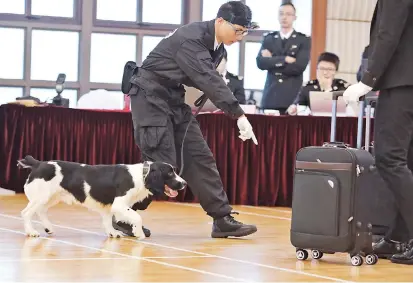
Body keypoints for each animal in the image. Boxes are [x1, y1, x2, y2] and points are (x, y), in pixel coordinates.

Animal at [16, 156, 186, 241]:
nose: (184, 183)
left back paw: (48, 228)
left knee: (41, 211)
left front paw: (113, 233)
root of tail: (38, 164)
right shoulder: (119, 203)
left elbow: (108, 220)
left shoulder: (108, 206)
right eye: (170, 173)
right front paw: (138, 233)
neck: (142, 175)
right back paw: (31, 232)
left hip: (51, 197)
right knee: (26, 213)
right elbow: (136, 217)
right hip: (42, 196)